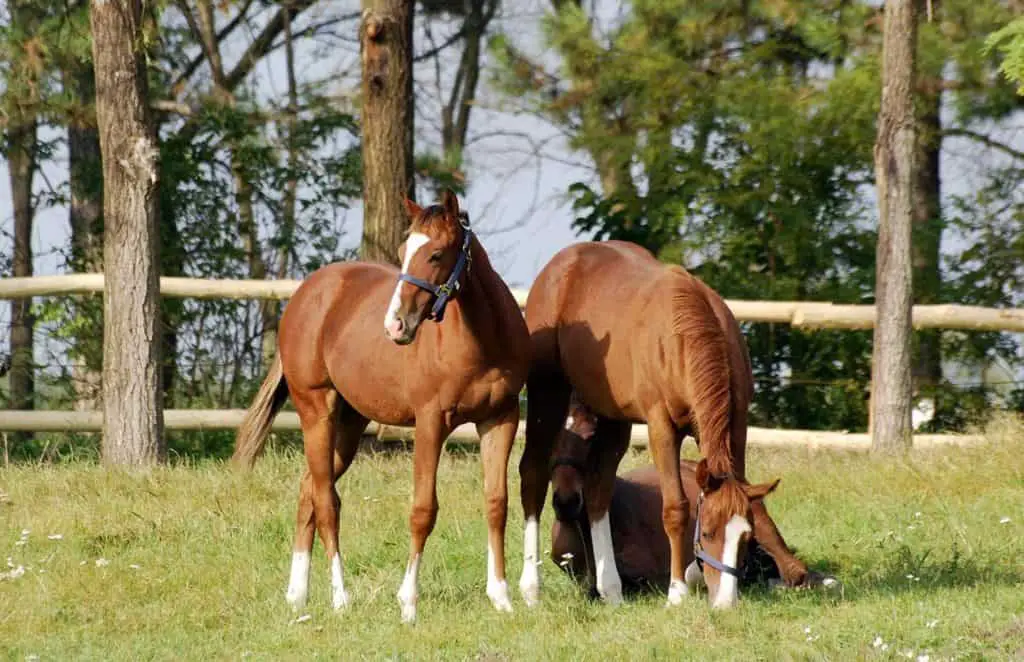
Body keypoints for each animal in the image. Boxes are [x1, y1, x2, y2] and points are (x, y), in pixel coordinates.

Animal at [231, 190, 530, 624]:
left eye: (436, 254)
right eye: (404, 251)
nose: (395, 326)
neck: (481, 341)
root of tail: (306, 294)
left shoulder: (500, 419)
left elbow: (497, 503)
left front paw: (502, 597)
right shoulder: (431, 423)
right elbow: (422, 510)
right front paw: (408, 603)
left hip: (349, 426)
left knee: (308, 490)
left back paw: (297, 595)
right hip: (316, 412)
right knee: (326, 502)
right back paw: (340, 598)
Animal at [518, 240, 783, 610]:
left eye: (746, 537)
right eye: (707, 532)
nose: (726, 602)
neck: (684, 337)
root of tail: (559, 266)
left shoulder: (737, 427)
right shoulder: (662, 428)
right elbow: (675, 508)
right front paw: (677, 591)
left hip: (612, 419)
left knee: (598, 492)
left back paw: (610, 589)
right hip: (547, 392)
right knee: (533, 475)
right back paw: (530, 588)